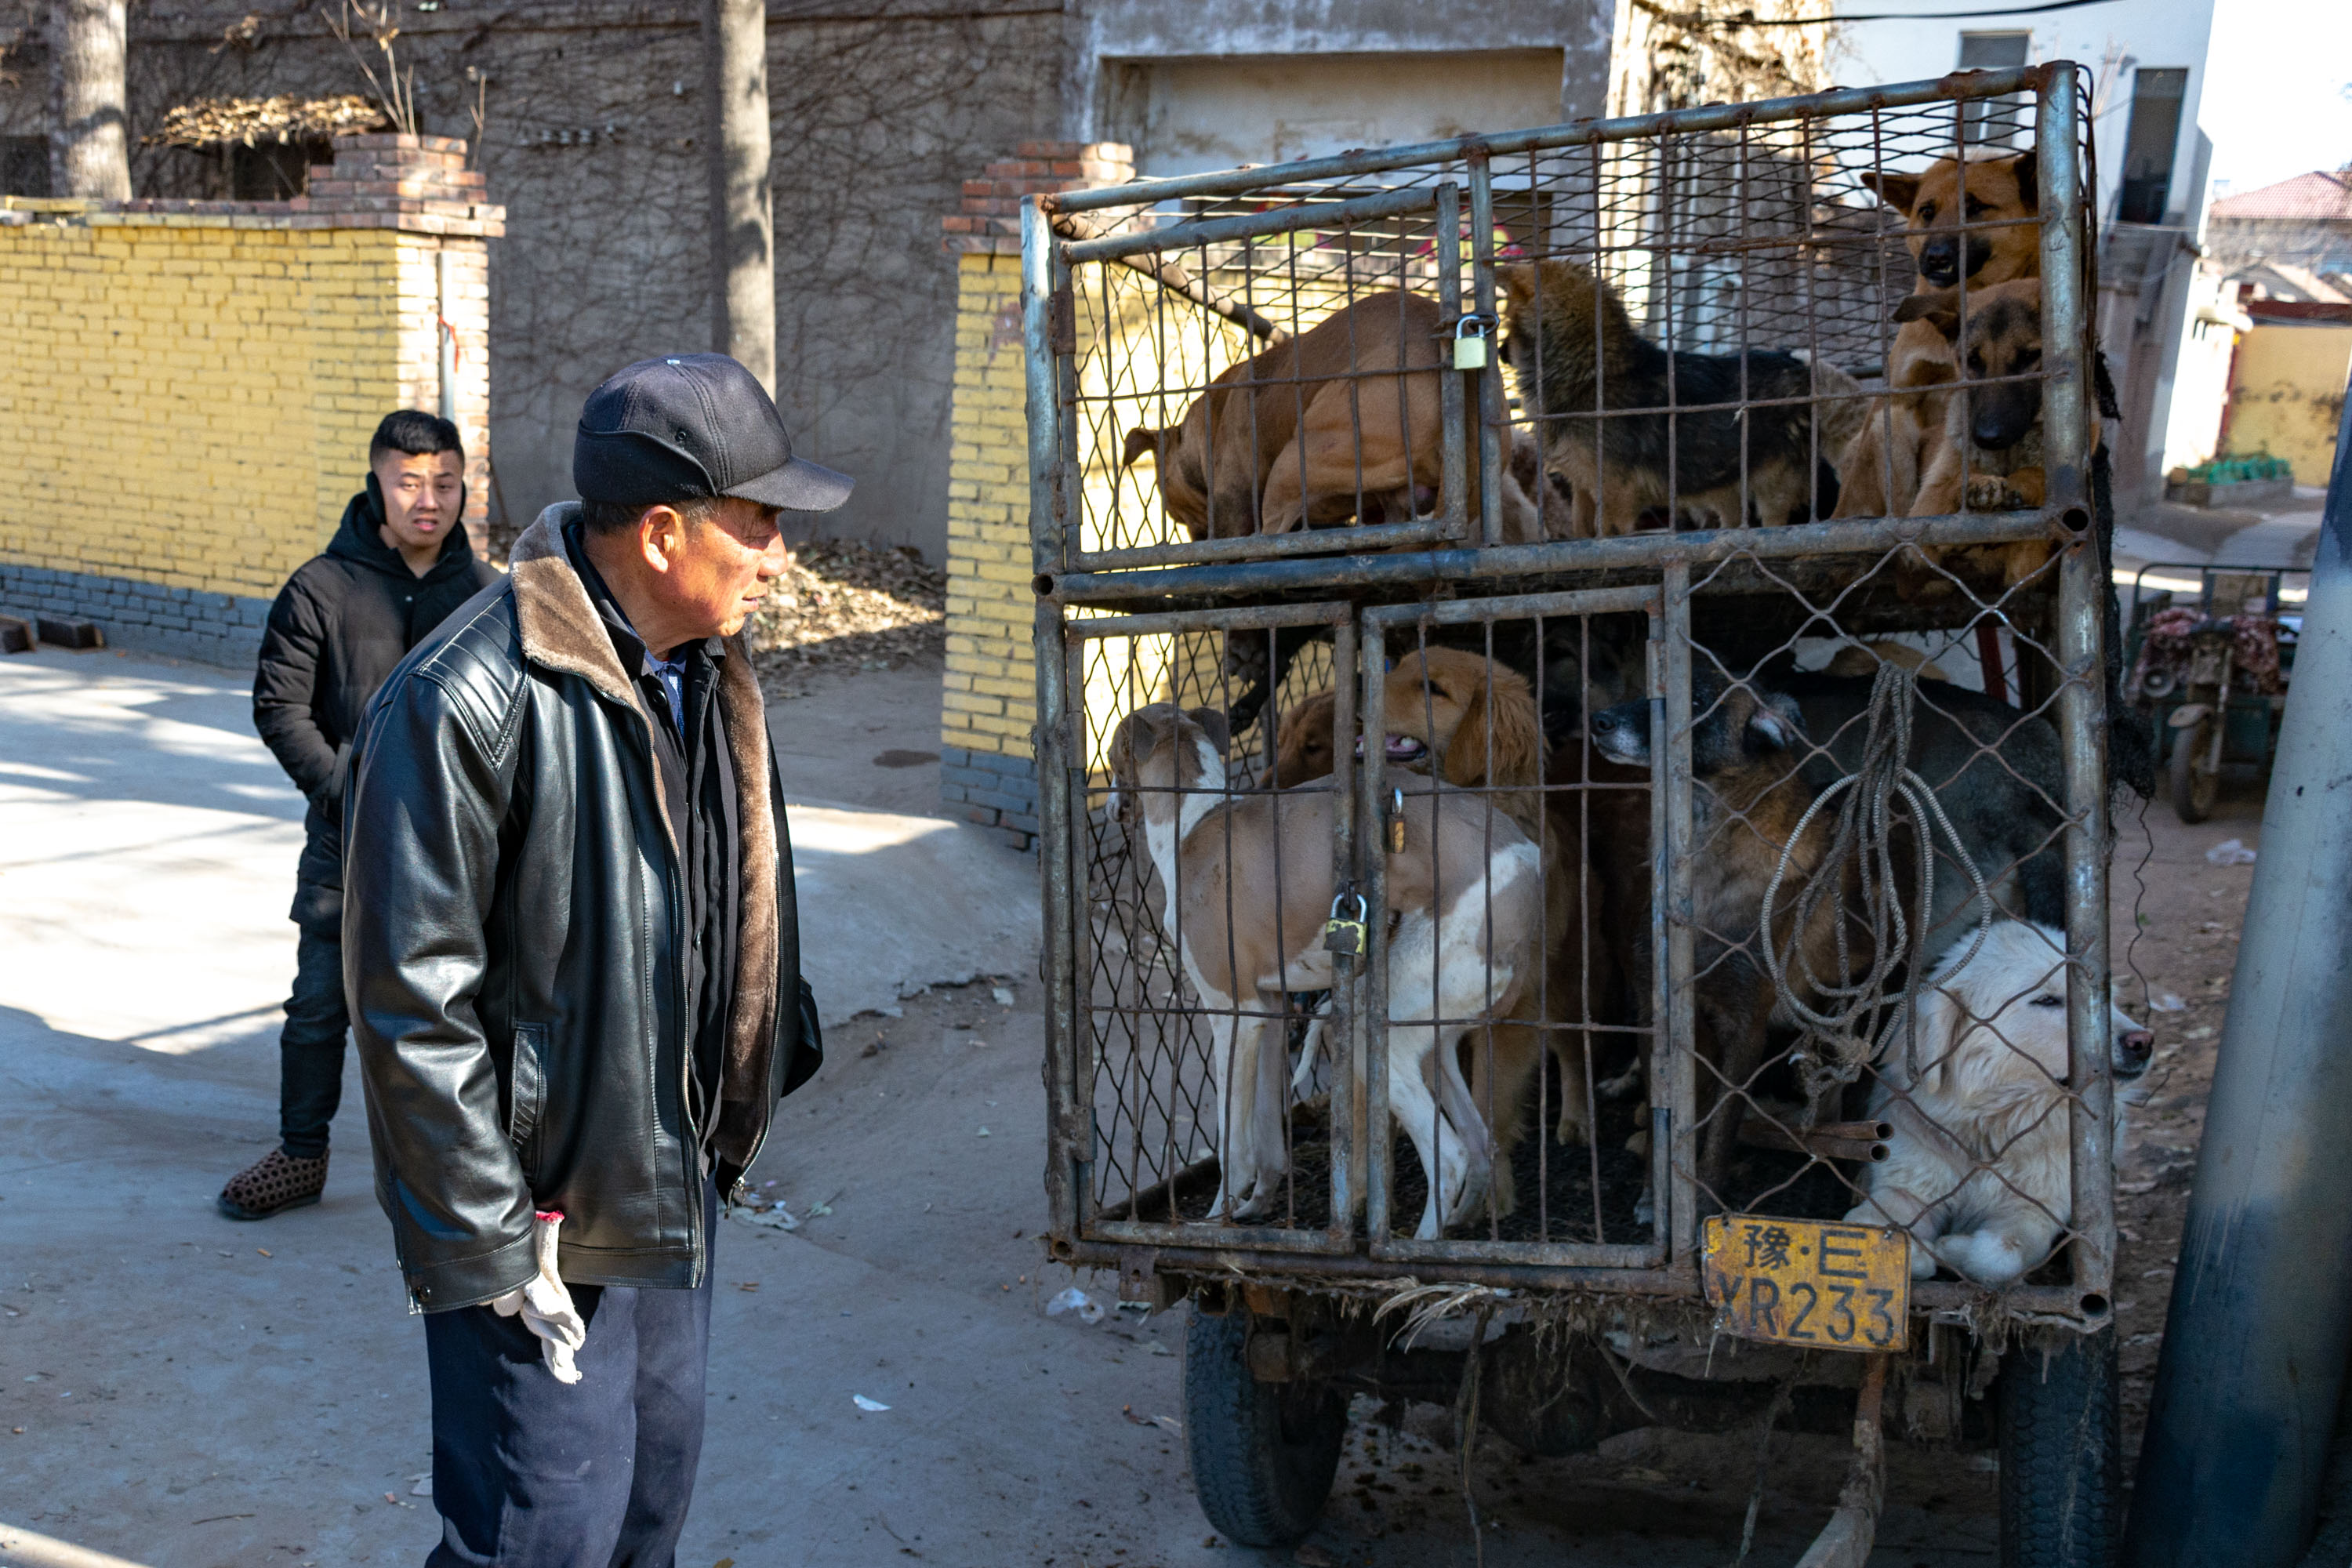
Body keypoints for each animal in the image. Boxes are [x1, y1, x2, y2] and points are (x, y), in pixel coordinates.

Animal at [1110, 700, 1552, 1241]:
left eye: (1111, 754)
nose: (1111, 807)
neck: (1194, 820)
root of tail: (1529, 867)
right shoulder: (1267, 1012)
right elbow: (1268, 1136)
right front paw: (1257, 1206)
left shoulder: (1231, 1013)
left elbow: (1234, 1146)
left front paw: (1215, 1220)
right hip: (1433, 1037)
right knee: (1479, 1140)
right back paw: (1459, 1226)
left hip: (1377, 1030)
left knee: (1449, 1156)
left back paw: (1417, 1244)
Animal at [1844, 921, 2154, 1288]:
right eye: (2046, 1000)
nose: (2143, 1042)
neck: (1993, 1124)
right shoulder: (1905, 1189)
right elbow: (1871, 1226)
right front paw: (1914, 1254)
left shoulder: (2035, 1211)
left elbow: (1997, 1256)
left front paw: (1948, 1249)